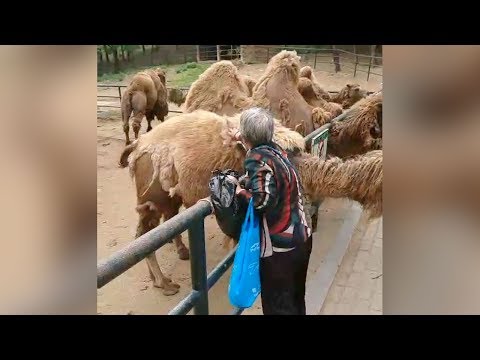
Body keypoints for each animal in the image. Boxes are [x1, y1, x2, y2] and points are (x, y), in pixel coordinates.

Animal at [119, 109, 382, 296]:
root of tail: (138, 146)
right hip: (152, 196)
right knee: (143, 234)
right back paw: (164, 283)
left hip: (169, 196)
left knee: (163, 223)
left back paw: (173, 263)